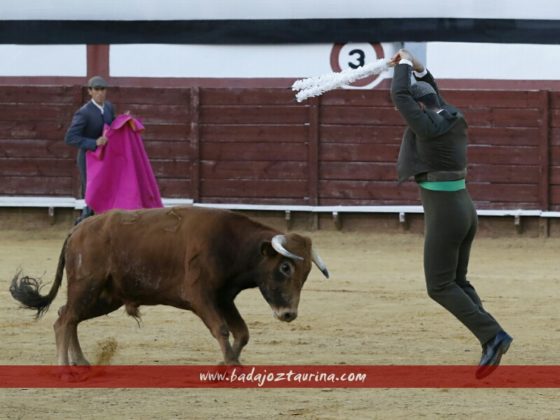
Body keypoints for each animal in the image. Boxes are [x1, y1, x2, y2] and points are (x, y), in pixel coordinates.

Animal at [9, 207, 328, 364]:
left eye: (306, 273)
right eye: (285, 267)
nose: (289, 314)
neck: (231, 244)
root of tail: (77, 229)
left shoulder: (224, 298)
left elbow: (242, 333)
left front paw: (228, 364)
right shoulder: (201, 296)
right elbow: (222, 329)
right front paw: (229, 365)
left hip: (105, 297)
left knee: (68, 316)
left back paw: (82, 361)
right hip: (87, 286)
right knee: (64, 320)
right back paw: (64, 367)